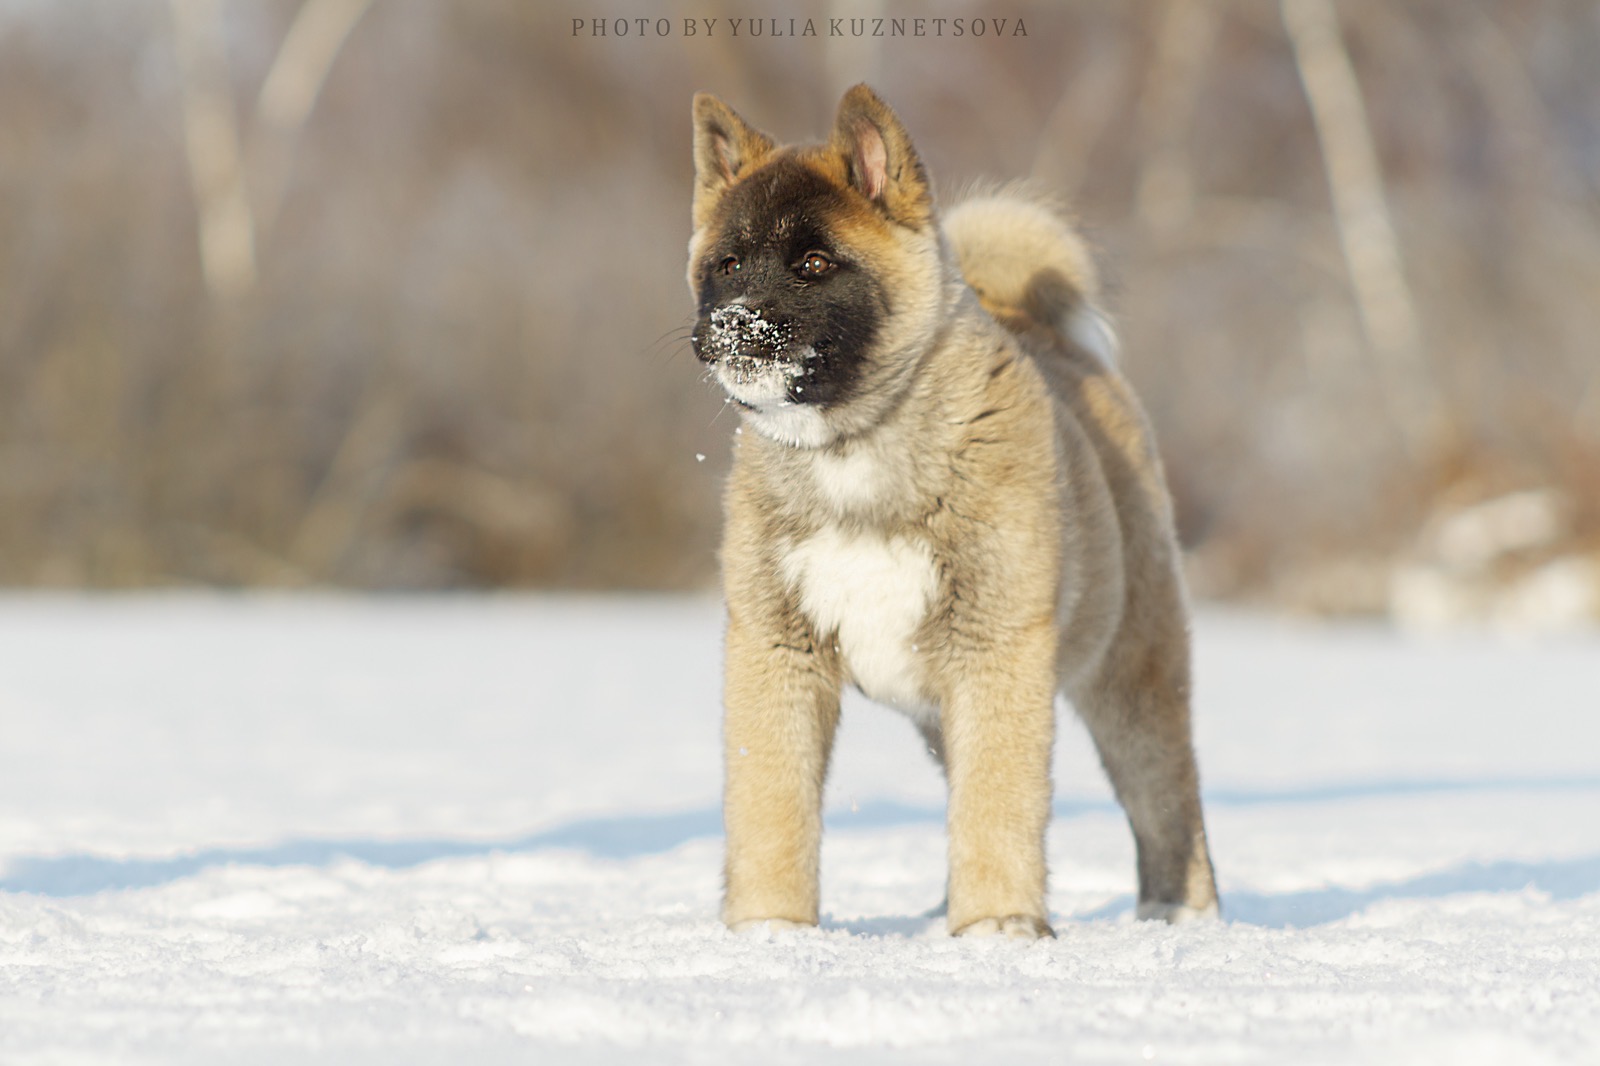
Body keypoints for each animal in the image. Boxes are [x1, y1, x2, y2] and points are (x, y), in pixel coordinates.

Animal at [681, 85, 1216, 941]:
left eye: (814, 264)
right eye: (726, 264)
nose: (728, 325)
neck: (858, 446)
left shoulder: (996, 652)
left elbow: (1001, 803)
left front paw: (998, 928)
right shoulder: (777, 652)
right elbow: (770, 804)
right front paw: (770, 932)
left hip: (1132, 676)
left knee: (1169, 804)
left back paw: (1183, 917)